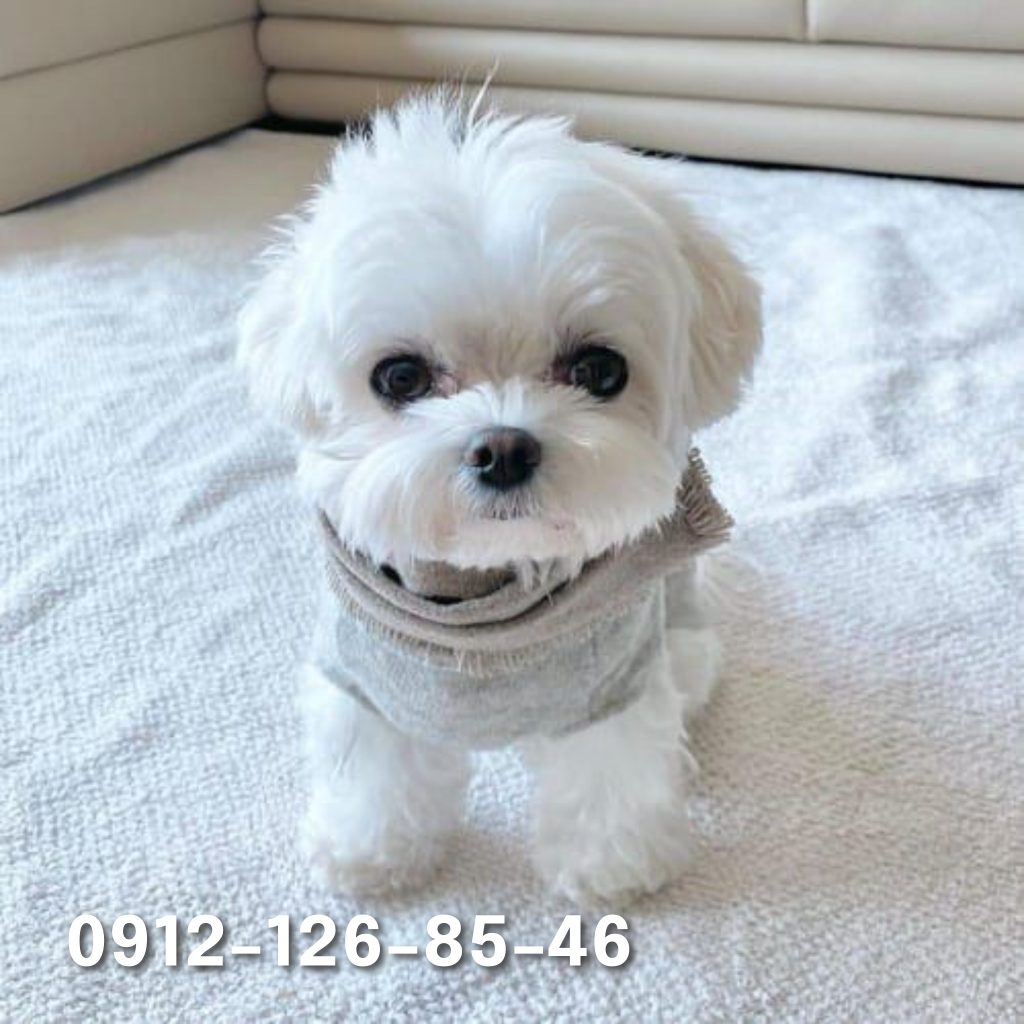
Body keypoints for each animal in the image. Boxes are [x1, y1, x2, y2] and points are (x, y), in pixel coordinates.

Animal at [239, 92, 761, 901]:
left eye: (600, 370)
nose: (504, 448)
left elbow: (609, 770)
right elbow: (374, 767)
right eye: (399, 377)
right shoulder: (364, 681)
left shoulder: (613, 688)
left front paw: (611, 864)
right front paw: (372, 850)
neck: (479, 609)